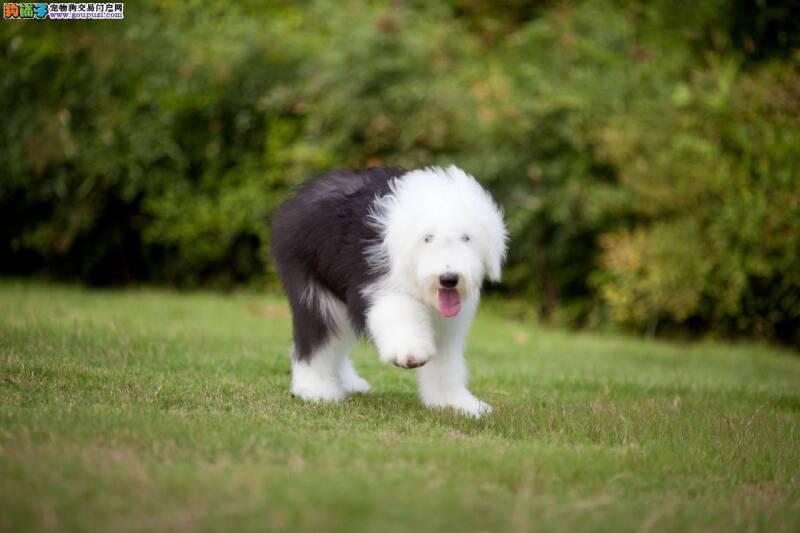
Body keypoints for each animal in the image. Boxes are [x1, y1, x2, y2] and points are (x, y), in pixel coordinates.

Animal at [268, 165, 506, 416]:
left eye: (466, 237)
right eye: (427, 238)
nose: (448, 279)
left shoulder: (447, 325)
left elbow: (445, 364)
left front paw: (454, 402)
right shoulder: (378, 282)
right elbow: (398, 311)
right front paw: (409, 352)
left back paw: (347, 381)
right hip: (313, 288)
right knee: (318, 341)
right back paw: (317, 389)